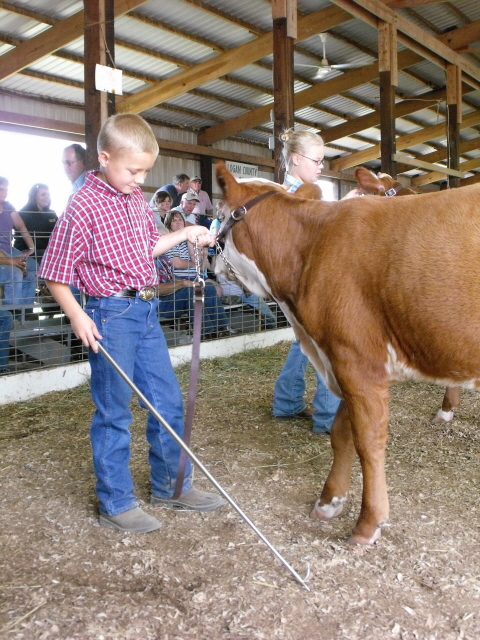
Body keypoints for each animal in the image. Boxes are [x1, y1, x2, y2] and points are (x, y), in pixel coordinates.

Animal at [214, 160, 480, 546]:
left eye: (219, 215)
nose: (211, 265)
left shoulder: (356, 359)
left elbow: (368, 441)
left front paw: (368, 523)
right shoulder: (339, 357)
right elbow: (342, 434)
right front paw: (329, 500)